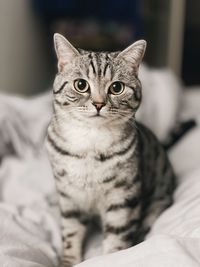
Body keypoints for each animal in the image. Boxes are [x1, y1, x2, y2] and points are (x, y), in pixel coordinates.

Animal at [45, 33, 175, 267]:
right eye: (81, 85)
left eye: (116, 87)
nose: (98, 104)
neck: (90, 144)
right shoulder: (69, 196)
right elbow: (70, 232)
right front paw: (68, 261)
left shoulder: (123, 197)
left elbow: (117, 239)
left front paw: (111, 258)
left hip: (158, 201)